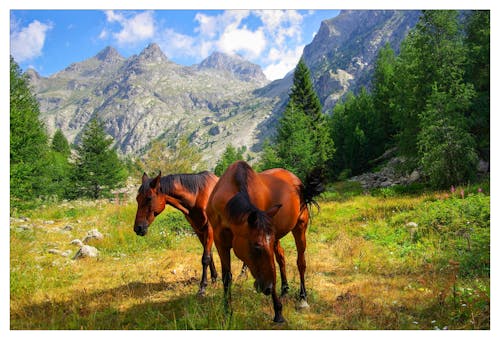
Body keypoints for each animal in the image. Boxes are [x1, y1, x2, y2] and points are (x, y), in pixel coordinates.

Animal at [206, 161, 324, 322]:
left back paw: (302, 298)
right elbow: (226, 277)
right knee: (281, 258)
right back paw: (284, 290)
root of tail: (295, 179)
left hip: (300, 227)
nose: (267, 287)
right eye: (257, 246)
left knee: (301, 262)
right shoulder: (220, 243)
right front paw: (227, 312)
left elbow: (272, 269)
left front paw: (278, 312)